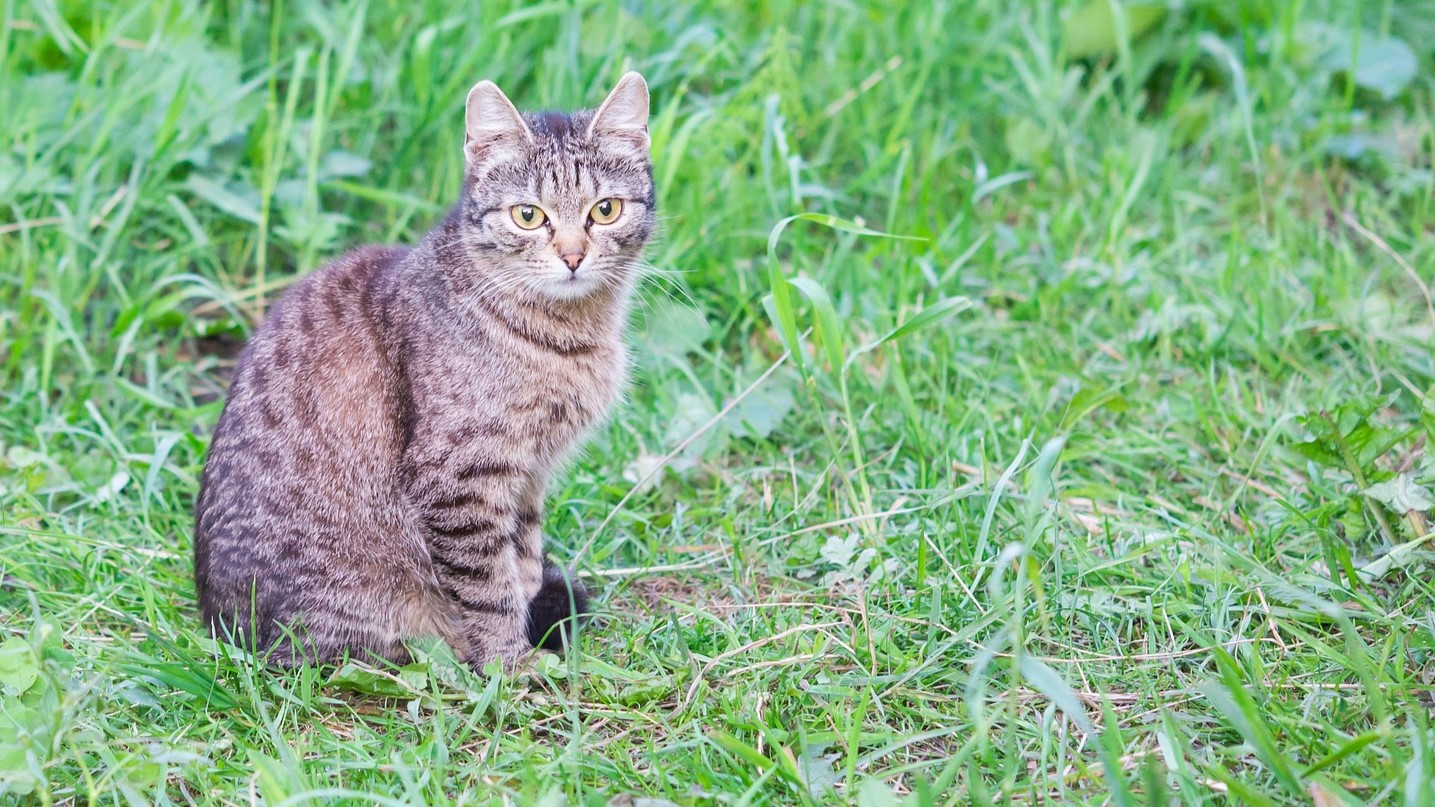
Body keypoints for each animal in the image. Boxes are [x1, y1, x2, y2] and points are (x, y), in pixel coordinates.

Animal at [192, 72, 657, 663]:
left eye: (606, 209)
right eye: (528, 215)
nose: (573, 257)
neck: (566, 337)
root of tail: (220, 629)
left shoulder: (528, 477)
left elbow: (523, 561)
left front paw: (531, 629)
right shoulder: (458, 479)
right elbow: (487, 588)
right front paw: (512, 666)